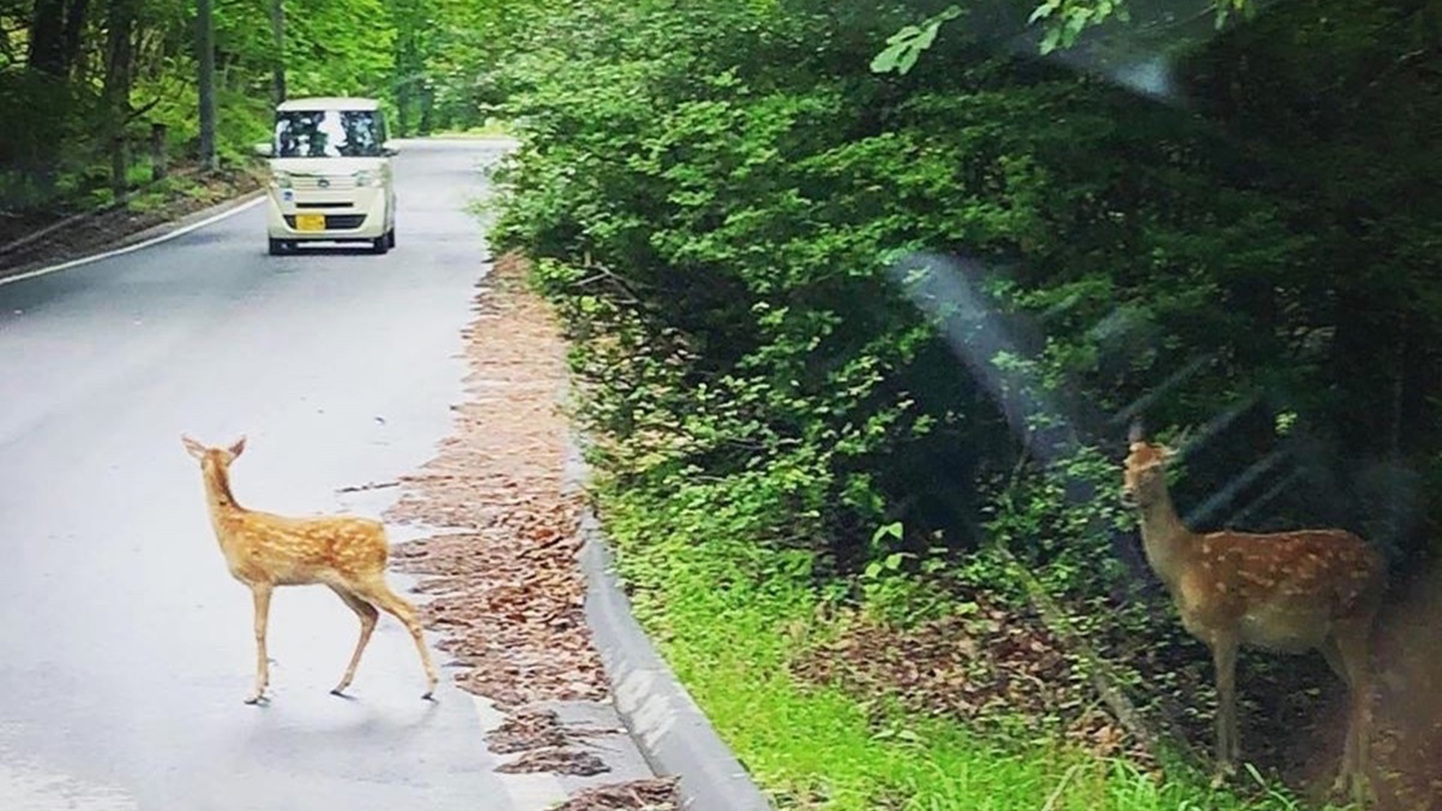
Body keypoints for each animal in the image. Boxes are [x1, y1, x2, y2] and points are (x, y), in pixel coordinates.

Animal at [181, 432, 438, 704]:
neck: (231, 527)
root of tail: (383, 534)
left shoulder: (262, 580)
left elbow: (259, 629)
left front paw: (256, 691)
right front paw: (264, 685)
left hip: (365, 574)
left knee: (407, 610)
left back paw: (430, 686)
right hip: (342, 583)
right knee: (369, 615)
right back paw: (341, 684)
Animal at [1113, 424, 1384, 802]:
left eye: (1154, 468)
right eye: (1126, 463)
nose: (1126, 494)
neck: (1183, 566)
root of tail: (1381, 566)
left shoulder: (1225, 624)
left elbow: (1222, 690)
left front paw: (1221, 771)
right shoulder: (1223, 636)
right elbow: (1229, 690)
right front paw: (1236, 761)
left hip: (1354, 617)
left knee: (1366, 685)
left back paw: (1355, 784)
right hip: (1328, 636)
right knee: (1357, 687)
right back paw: (1346, 779)